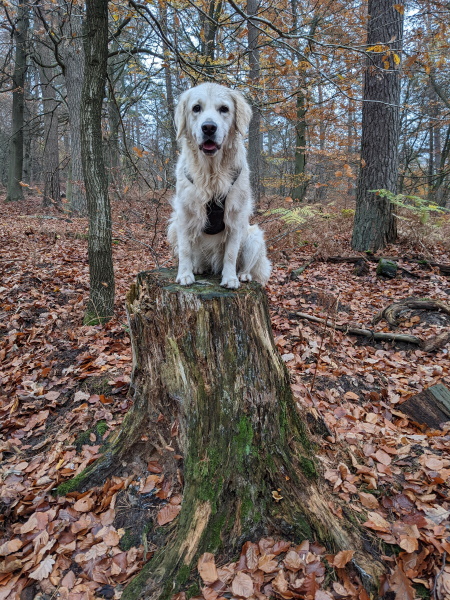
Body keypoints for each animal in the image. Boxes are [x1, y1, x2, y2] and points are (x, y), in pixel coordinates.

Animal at [166, 83, 268, 290]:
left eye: (224, 109)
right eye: (196, 108)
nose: (209, 127)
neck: (211, 172)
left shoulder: (235, 216)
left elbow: (231, 253)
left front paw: (230, 278)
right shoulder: (183, 214)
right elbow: (185, 250)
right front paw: (185, 274)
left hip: (254, 237)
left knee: (246, 263)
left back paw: (243, 275)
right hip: (172, 226)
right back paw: (198, 266)